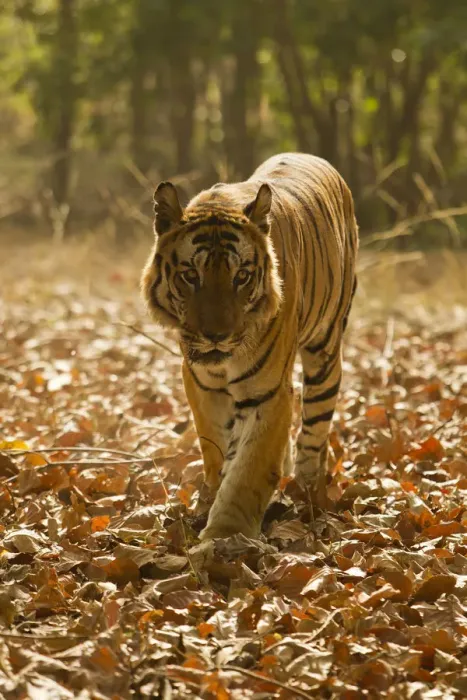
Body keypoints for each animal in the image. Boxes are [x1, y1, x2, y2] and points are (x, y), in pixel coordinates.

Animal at [141, 153, 358, 540]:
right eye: (190, 276)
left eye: (240, 276)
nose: (216, 335)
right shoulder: (202, 385)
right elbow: (217, 451)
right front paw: (211, 505)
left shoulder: (267, 393)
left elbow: (249, 469)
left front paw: (224, 535)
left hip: (325, 351)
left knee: (314, 429)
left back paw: (306, 490)